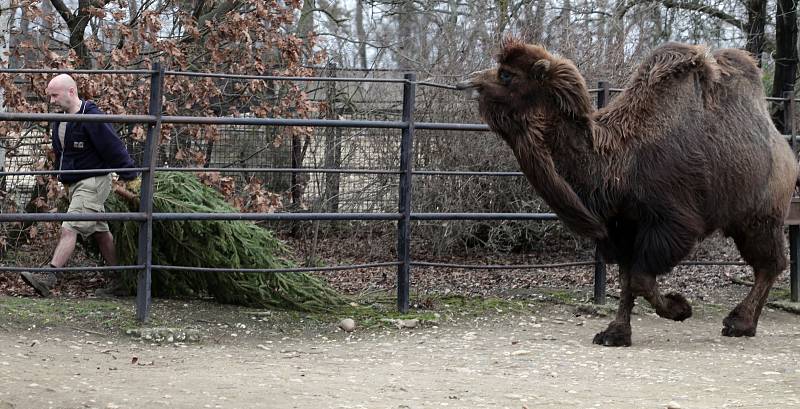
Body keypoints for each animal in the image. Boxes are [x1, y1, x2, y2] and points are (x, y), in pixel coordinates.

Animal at [456, 37, 800, 344]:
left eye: (506, 75)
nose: (466, 82)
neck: (619, 162)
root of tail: (785, 149)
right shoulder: (620, 226)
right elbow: (626, 280)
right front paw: (615, 334)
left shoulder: (671, 222)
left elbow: (640, 278)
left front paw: (680, 308)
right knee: (768, 263)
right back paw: (746, 324)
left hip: (760, 216)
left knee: (770, 262)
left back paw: (738, 322)